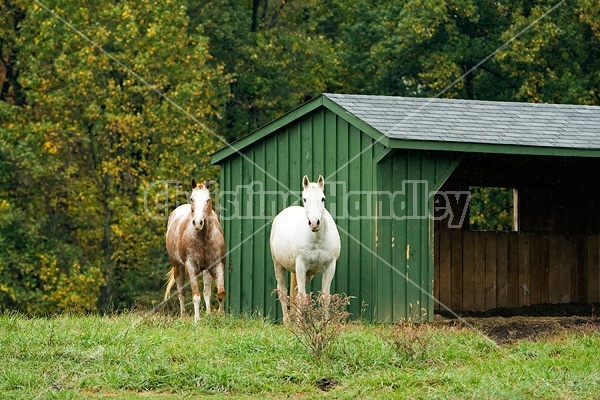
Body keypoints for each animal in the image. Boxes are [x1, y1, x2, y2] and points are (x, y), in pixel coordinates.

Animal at [164, 178, 225, 322]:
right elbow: (196, 296)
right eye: (192, 198)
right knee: (181, 292)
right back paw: (183, 316)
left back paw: (208, 313)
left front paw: (221, 316)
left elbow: (220, 293)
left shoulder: (217, 265)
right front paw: (197, 320)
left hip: (206, 270)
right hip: (177, 266)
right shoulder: (191, 267)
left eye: (208, 199)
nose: (198, 223)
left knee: (207, 291)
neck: (203, 238)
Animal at [270, 174, 340, 322]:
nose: (314, 223)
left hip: (309, 274)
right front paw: (300, 324)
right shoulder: (301, 266)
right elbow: (302, 298)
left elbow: (325, 298)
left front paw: (324, 323)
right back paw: (288, 322)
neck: (317, 239)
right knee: (283, 291)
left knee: (295, 292)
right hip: (279, 265)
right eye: (304, 199)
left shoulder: (330, 267)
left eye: (323, 198)